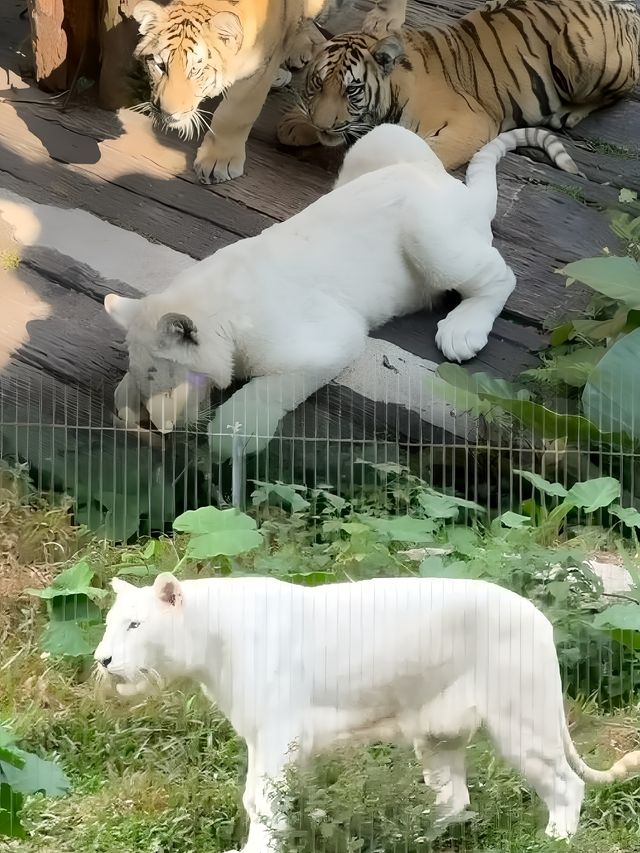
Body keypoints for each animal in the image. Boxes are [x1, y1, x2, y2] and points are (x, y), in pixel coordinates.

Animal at [95, 568, 640, 848]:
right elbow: (263, 799)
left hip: (521, 722)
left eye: (135, 625)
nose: (101, 659)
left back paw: (556, 839)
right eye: (110, 623)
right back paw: (414, 836)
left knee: (565, 785)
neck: (209, 643)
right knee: (454, 799)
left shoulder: (278, 733)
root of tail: (540, 617)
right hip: (437, 738)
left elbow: (262, 802)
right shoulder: (262, 736)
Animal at [104, 124, 580, 460]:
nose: (157, 424)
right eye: (145, 373)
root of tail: (456, 188)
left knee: (501, 274)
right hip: (383, 136)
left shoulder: (330, 340)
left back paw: (462, 330)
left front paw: (233, 431)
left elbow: (270, 388)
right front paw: (125, 399)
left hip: (430, 234)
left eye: (158, 374)